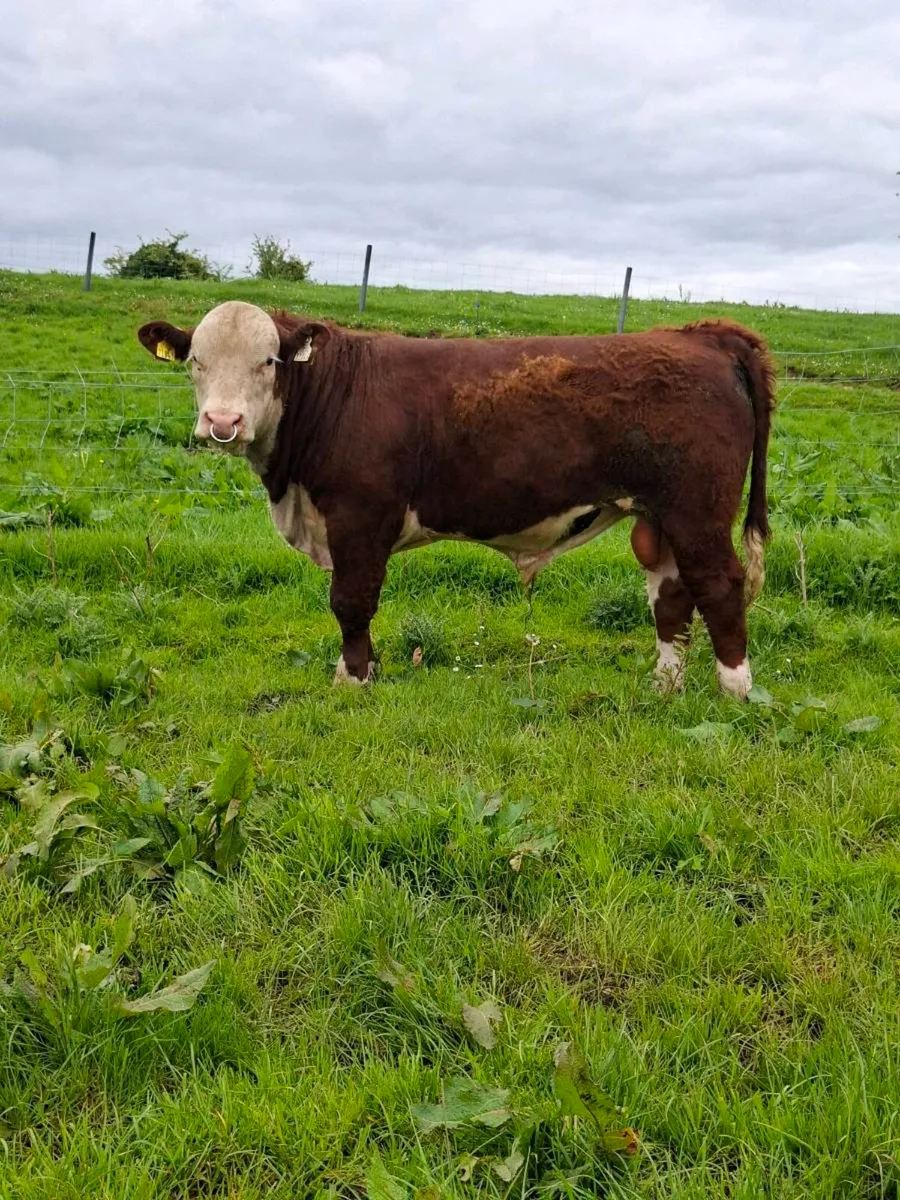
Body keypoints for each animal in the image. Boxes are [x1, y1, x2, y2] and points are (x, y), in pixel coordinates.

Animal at [137, 301, 774, 697]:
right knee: (671, 595)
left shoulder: (360, 517)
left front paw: (354, 681)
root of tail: (698, 334)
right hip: (658, 516)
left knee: (719, 586)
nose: (222, 422)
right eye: (195, 361)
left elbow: (350, 602)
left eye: (266, 361)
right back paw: (664, 686)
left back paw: (735, 690)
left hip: (697, 510)